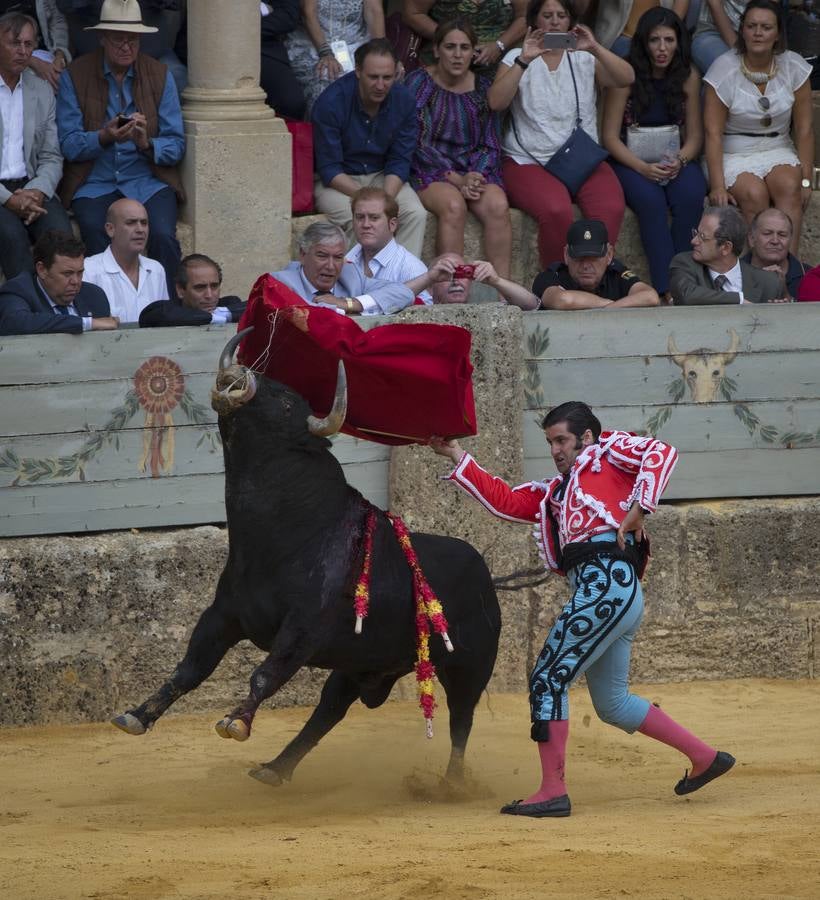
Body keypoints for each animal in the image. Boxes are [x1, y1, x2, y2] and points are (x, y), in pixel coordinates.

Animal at [113, 332, 500, 788]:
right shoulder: (223, 615)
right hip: (358, 666)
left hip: (468, 666)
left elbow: (265, 673)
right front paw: (137, 716)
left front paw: (236, 722)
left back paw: (451, 784)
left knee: (461, 721)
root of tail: (489, 577)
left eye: (285, 403)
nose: (236, 375)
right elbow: (191, 667)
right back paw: (275, 768)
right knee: (328, 711)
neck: (281, 535)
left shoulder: (302, 629)